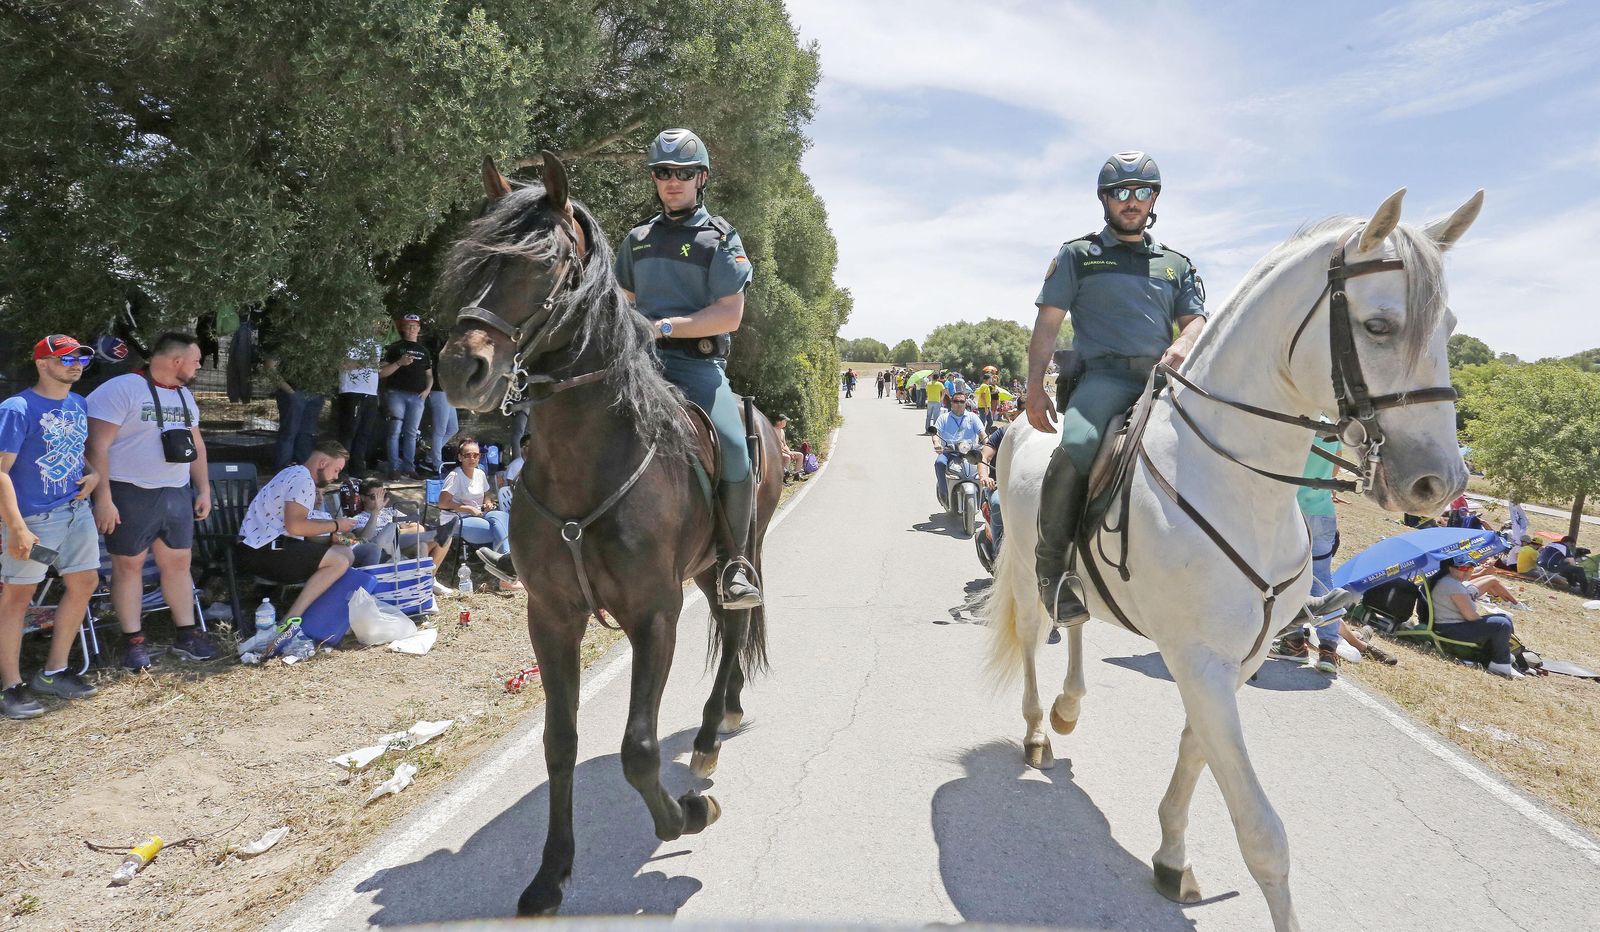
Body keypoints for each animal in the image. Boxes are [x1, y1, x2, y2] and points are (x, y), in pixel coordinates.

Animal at [436, 154, 782, 916]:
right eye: (470, 259)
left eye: (545, 262)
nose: (460, 369)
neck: (587, 459)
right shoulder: (551, 616)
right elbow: (559, 742)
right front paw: (551, 873)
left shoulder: (654, 614)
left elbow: (639, 749)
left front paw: (688, 814)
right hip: (706, 568)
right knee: (730, 631)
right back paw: (727, 712)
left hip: (737, 555)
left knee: (738, 626)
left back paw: (709, 735)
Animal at [984, 188, 1481, 931]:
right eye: (1380, 325)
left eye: (1448, 325)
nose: (1438, 482)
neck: (1243, 486)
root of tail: (1021, 418)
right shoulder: (1200, 660)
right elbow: (1262, 832)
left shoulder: (1237, 660)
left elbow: (1197, 754)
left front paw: (1170, 856)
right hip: (1021, 566)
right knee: (1032, 636)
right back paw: (1042, 728)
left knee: (1071, 618)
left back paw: (1070, 707)